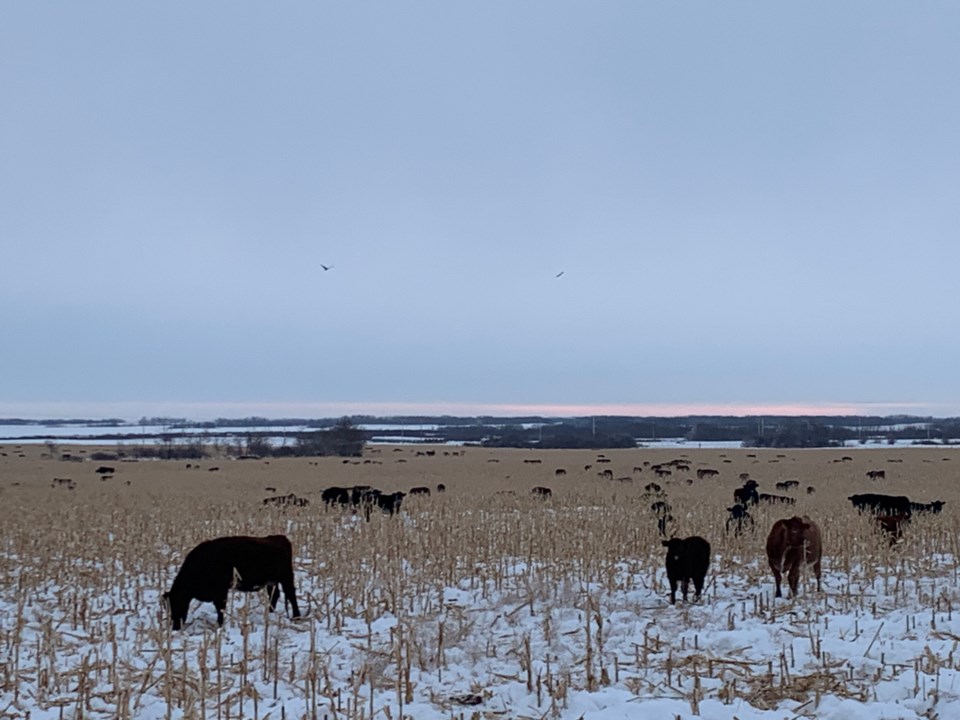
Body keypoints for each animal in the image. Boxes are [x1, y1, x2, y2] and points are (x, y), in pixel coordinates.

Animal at [162, 536, 300, 632]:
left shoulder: (221, 591)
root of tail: (279, 538)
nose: (175, 627)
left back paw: (296, 617)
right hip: (271, 582)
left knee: (291, 596)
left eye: (177, 604)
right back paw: (270, 614)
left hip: (286, 578)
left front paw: (220, 625)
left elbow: (220, 609)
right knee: (274, 595)